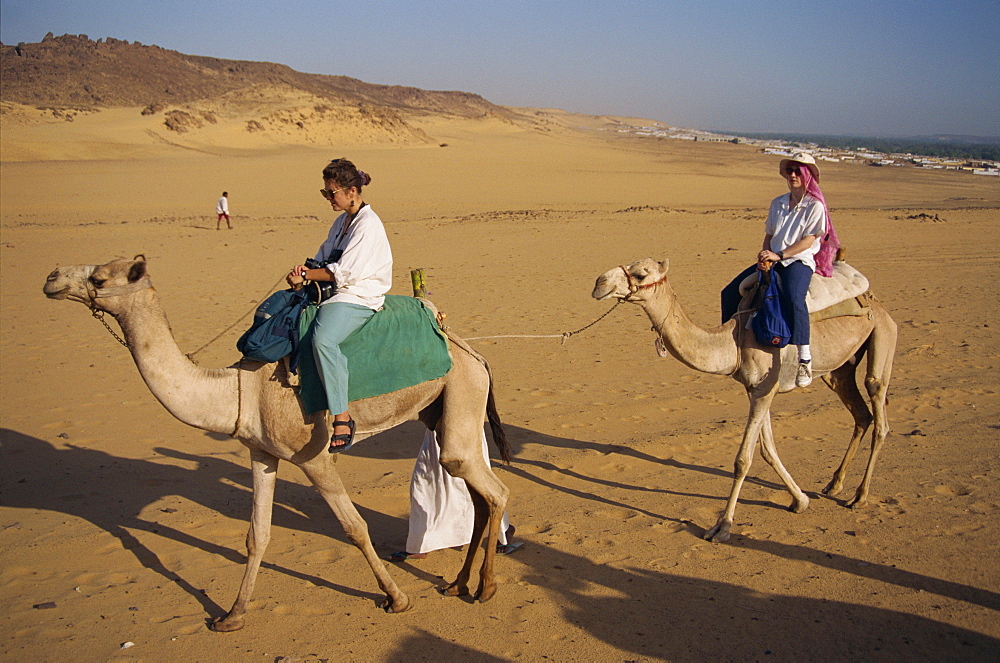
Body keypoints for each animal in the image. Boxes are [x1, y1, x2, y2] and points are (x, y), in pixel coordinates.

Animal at [43, 255, 512, 632]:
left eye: (100, 278)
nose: (51, 277)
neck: (239, 391)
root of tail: (469, 350)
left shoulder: (314, 457)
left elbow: (355, 527)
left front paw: (396, 598)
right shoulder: (262, 453)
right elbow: (258, 534)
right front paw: (231, 615)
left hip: (463, 392)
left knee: (493, 490)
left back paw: (486, 588)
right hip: (440, 412)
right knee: (476, 492)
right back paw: (458, 584)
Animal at [592, 256, 900, 544]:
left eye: (641, 274)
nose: (599, 283)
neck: (734, 340)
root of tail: (875, 302)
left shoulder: (765, 389)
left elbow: (743, 459)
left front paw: (722, 527)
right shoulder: (755, 390)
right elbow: (768, 450)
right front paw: (800, 500)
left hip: (882, 335)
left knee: (878, 407)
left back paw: (859, 496)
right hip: (840, 369)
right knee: (861, 414)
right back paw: (834, 485)